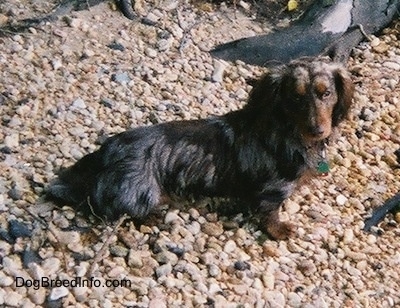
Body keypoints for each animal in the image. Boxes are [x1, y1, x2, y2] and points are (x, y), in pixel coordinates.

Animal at [47, 57, 354, 241]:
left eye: (326, 93)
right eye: (295, 97)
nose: (318, 130)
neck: (289, 131)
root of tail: (105, 153)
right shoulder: (273, 189)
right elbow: (269, 212)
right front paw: (280, 229)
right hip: (142, 193)